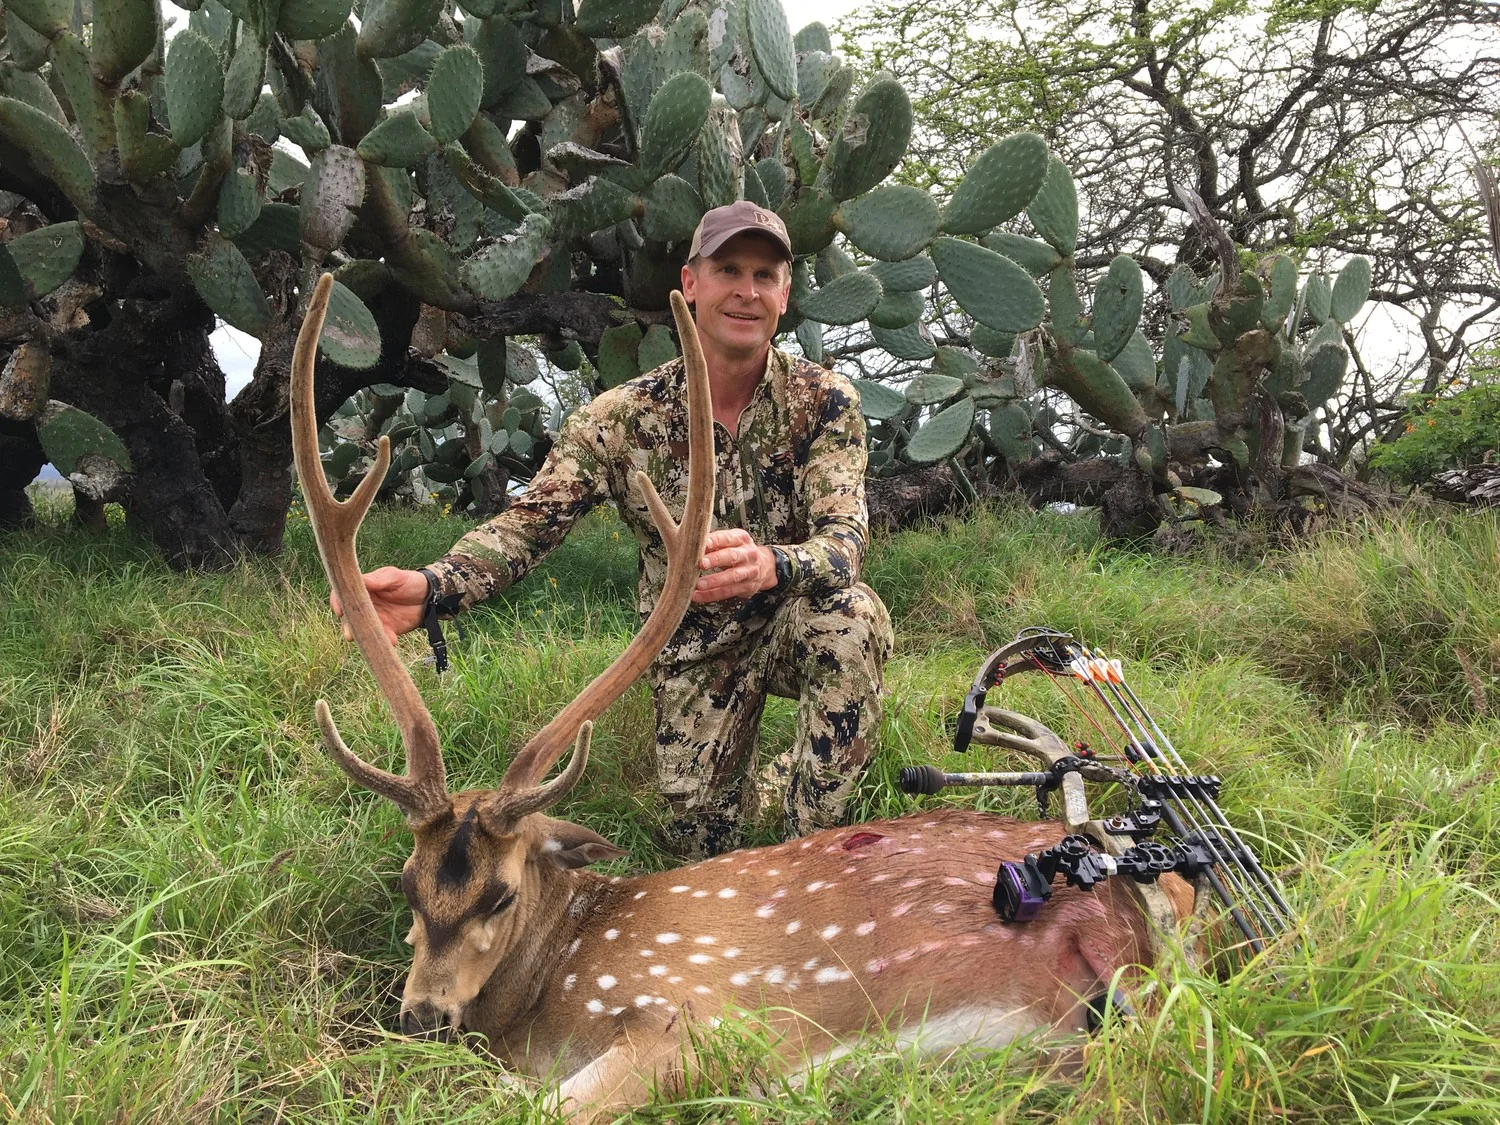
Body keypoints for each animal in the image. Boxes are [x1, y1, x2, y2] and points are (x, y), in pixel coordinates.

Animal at [289, 273, 1195, 1122]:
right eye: (408, 882)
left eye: (502, 892)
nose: (422, 1017)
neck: (555, 982)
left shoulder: (692, 1018)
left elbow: (529, 1106)